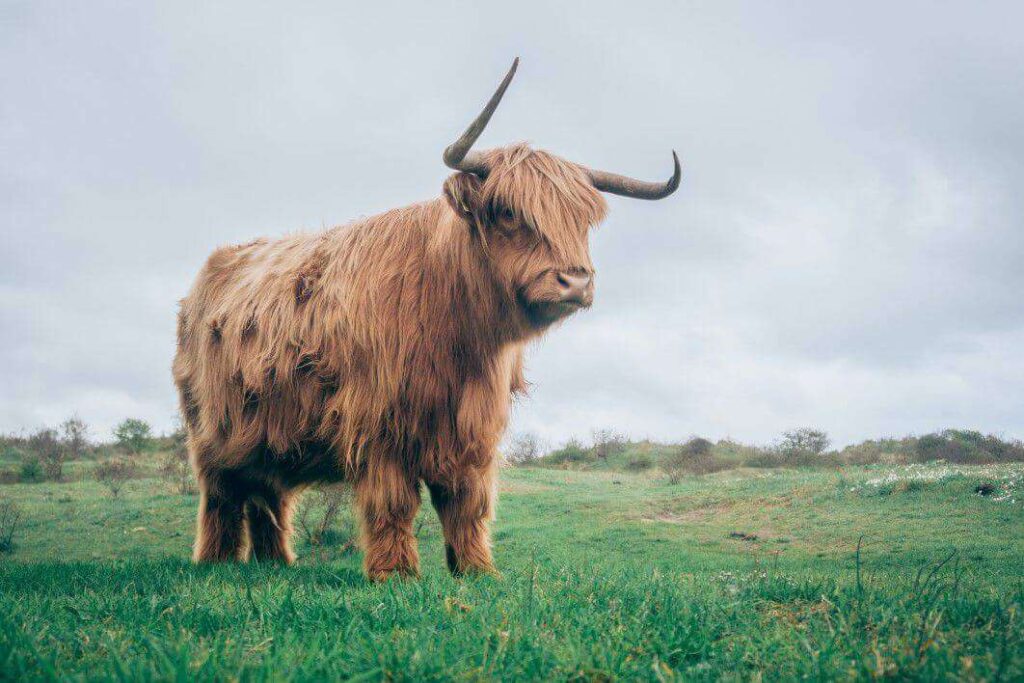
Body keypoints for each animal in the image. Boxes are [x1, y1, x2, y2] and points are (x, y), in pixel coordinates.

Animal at [172, 59, 680, 579]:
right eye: (506, 211)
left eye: (582, 220)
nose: (575, 282)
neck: (458, 334)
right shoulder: (379, 423)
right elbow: (394, 502)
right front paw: (395, 575)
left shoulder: (473, 430)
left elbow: (467, 503)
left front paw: (477, 570)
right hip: (211, 432)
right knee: (222, 496)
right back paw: (215, 562)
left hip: (267, 435)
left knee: (267, 495)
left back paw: (276, 563)